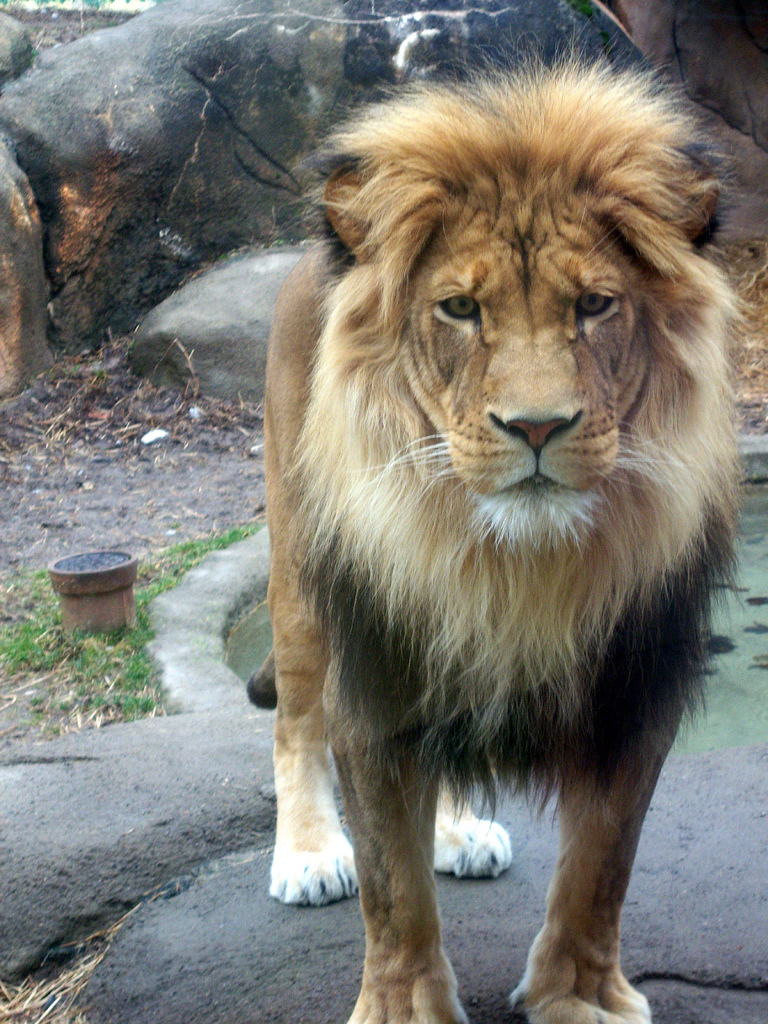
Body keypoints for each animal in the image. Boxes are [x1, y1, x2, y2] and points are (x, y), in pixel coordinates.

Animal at [253, 62, 739, 1024]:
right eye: (459, 309)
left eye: (594, 305)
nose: (538, 426)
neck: (512, 568)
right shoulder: (375, 678)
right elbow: (393, 888)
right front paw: (403, 1007)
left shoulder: (635, 692)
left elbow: (601, 869)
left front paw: (580, 996)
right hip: (298, 579)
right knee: (295, 720)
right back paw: (308, 853)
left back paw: (457, 831)